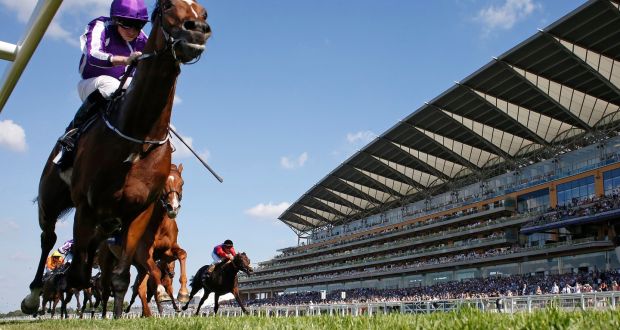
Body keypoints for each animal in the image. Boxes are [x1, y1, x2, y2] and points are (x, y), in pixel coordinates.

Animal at [20, 1, 211, 318]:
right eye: (167, 5)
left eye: (204, 13)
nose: (196, 30)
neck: (138, 137)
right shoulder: (86, 206)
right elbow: (82, 276)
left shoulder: (137, 213)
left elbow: (120, 279)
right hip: (50, 200)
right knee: (49, 240)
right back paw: (34, 296)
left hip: (107, 223)